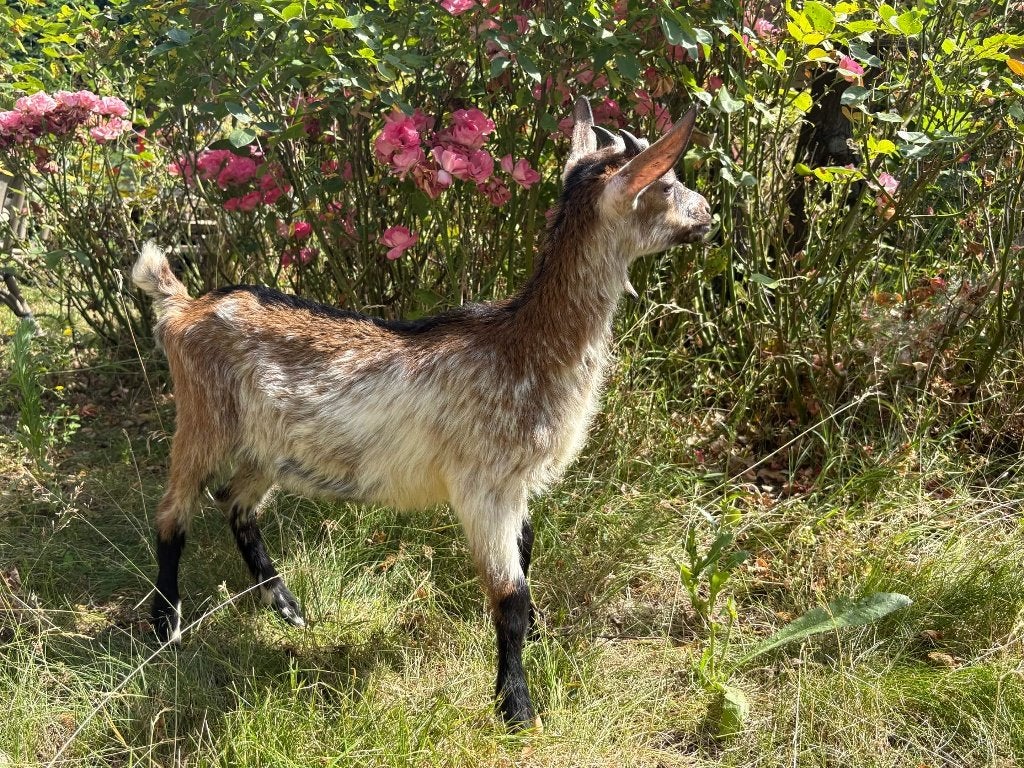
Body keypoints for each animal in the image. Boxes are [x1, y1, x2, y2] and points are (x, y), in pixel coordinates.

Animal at [132, 97, 711, 728]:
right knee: (172, 513)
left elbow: (528, 553)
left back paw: (287, 606)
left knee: (235, 503)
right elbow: (509, 596)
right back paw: (166, 623)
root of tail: (184, 309)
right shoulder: (482, 484)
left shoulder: (515, 485)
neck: (524, 347)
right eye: (666, 182)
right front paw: (517, 706)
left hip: (269, 449)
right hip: (202, 420)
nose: (707, 213)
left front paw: (536, 638)